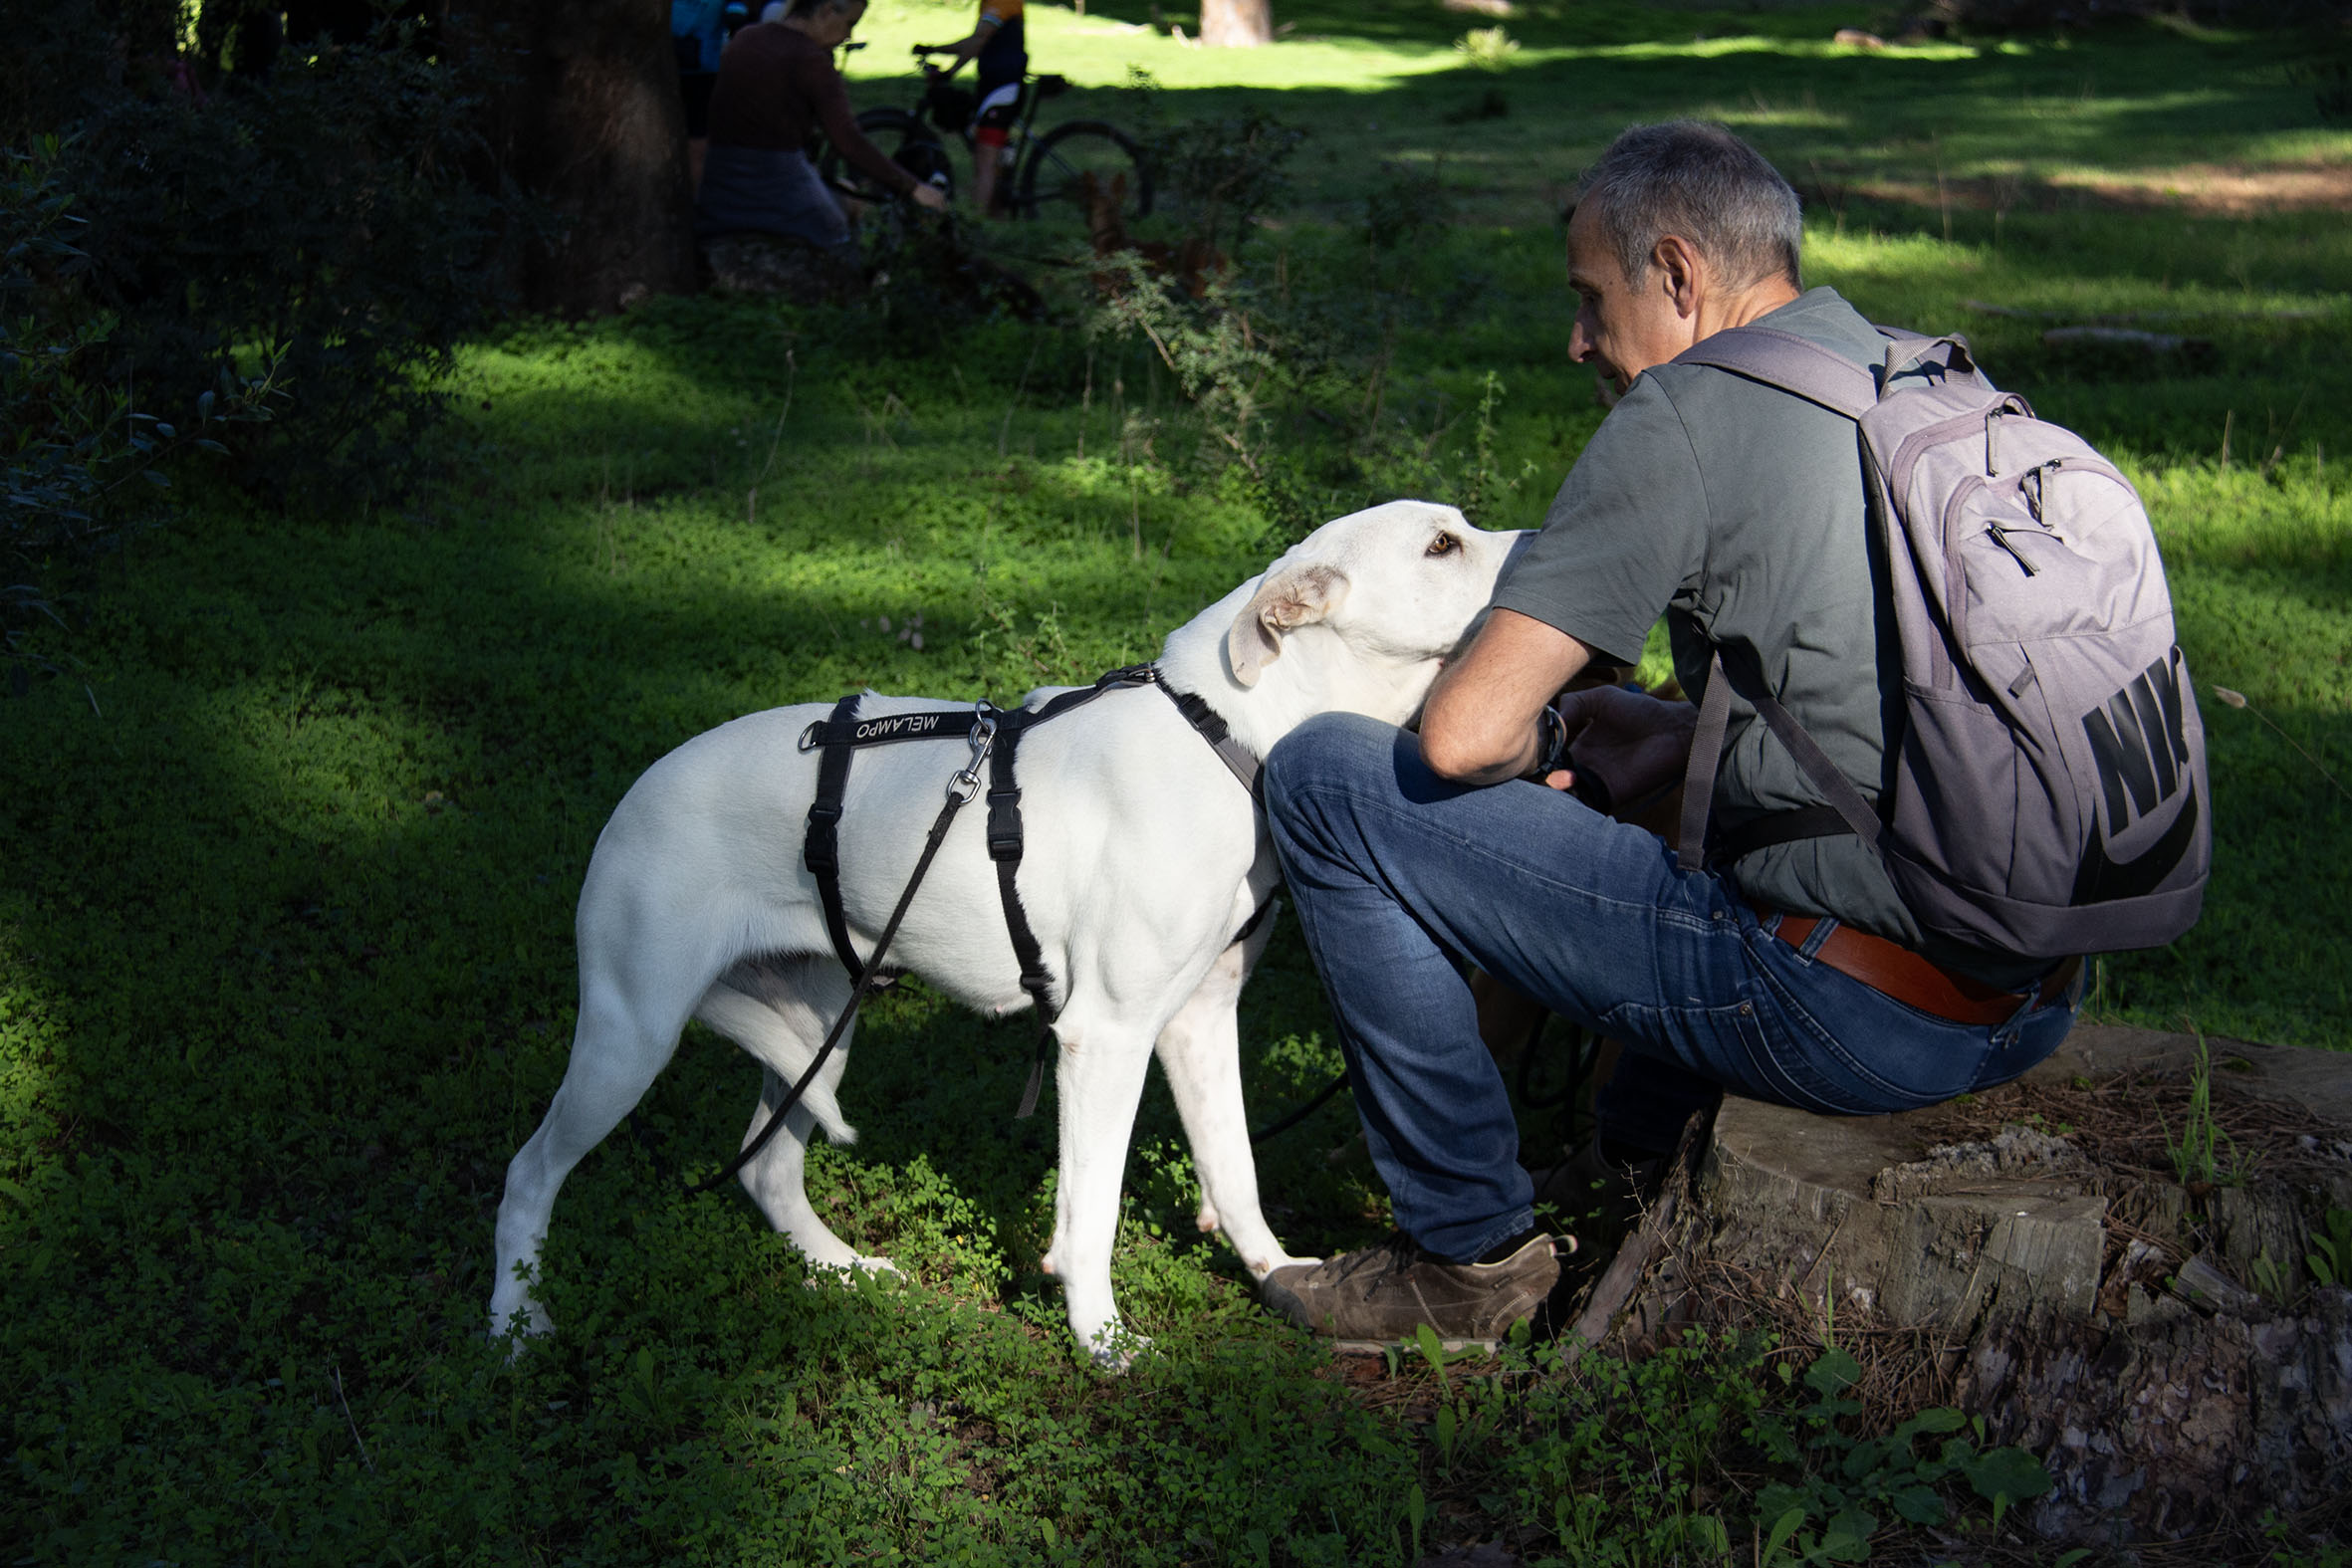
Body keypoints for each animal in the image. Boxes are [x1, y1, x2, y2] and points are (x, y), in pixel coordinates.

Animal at [488, 500, 1528, 1363]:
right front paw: (1101, 1339)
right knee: (528, 1173)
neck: (1220, 729)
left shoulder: (1199, 1020)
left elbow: (1234, 1171)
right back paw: (513, 1328)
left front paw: (1281, 1278)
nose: (1541, 554)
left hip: (820, 1030)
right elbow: (1092, 1209)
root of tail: (633, 792)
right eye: (1442, 544)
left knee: (771, 1170)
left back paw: (843, 1273)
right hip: (630, 1036)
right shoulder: (1105, 1039)